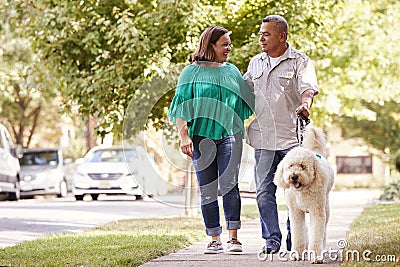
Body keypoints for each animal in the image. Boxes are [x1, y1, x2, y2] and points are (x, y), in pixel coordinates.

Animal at [276, 126, 334, 264]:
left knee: (323, 231)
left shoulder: (317, 211)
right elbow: (298, 234)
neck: (302, 191)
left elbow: (317, 234)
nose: (294, 176)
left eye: (303, 166)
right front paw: (297, 254)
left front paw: (316, 257)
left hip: (326, 208)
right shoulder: (296, 213)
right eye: (290, 166)